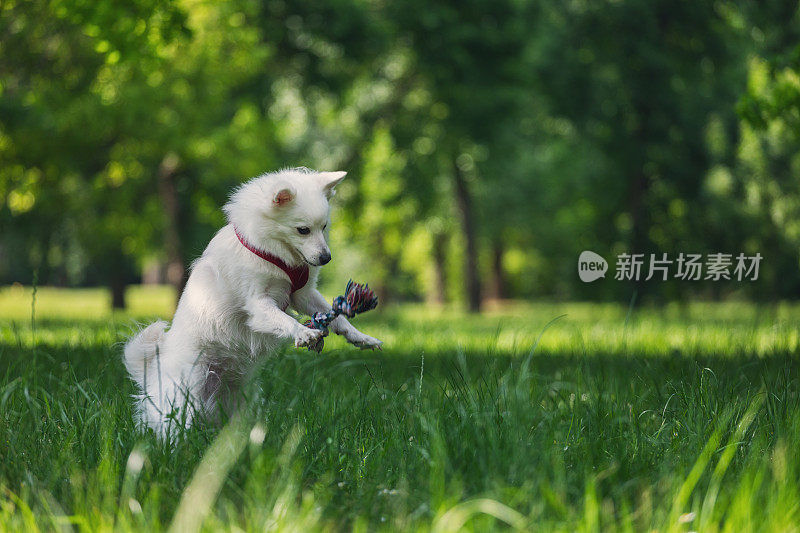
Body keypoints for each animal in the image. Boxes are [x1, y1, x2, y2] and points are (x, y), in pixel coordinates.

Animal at [124, 167, 384, 436]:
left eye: (324, 227)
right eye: (303, 230)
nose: (326, 258)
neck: (275, 253)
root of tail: (153, 370)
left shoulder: (304, 295)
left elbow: (338, 318)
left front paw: (360, 337)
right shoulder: (258, 304)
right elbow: (283, 319)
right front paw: (303, 332)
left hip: (239, 398)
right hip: (186, 391)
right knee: (172, 425)